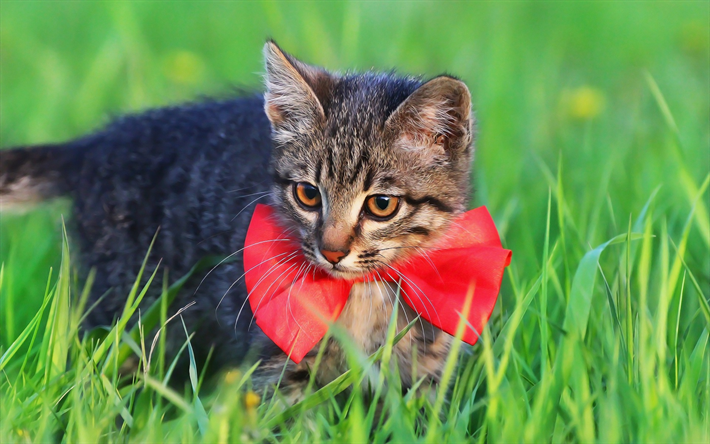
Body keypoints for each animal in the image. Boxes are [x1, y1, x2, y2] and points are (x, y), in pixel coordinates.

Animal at [2, 41, 478, 400]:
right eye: (308, 195)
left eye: (381, 205)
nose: (331, 251)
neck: (361, 295)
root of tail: (97, 145)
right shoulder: (277, 361)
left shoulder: (424, 376)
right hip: (119, 306)